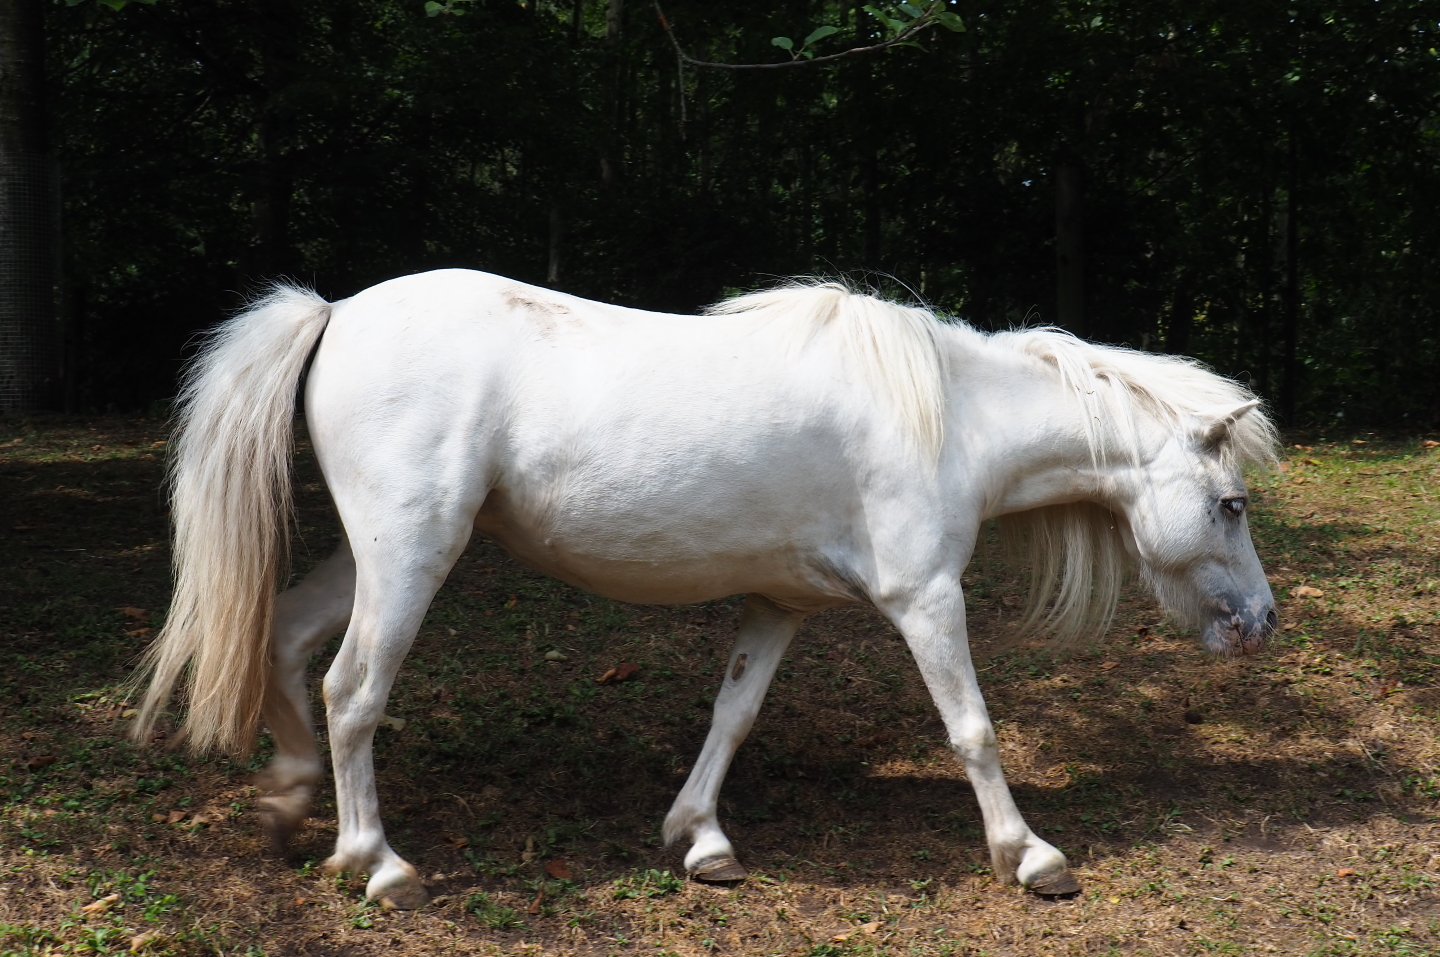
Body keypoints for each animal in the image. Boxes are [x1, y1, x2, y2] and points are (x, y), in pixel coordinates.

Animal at [131, 268, 1278, 909]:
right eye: (1230, 504)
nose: (1262, 623)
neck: (949, 417)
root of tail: (335, 314)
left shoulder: (778, 607)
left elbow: (732, 716)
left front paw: (701, 841)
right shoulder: (925, 599)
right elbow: (973, 729)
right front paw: (1030, 856)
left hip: (374, 554)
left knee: (286, 642)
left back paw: (289, 805)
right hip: (412, 555)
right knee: (353, 693)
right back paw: (376, 863)